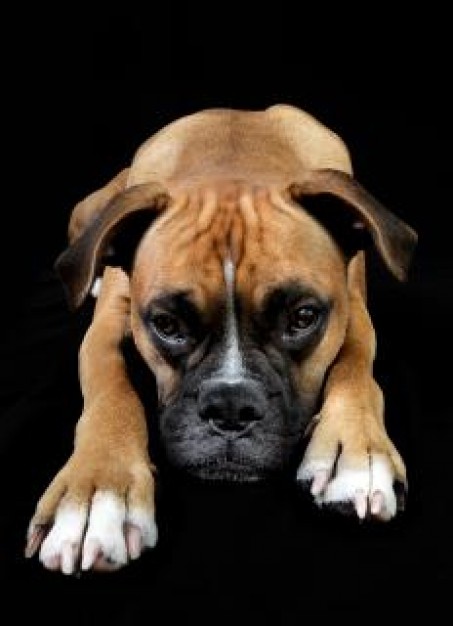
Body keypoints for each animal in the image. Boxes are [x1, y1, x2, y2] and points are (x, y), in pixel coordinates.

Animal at [23, 103, 414, 572]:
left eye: (303, 318)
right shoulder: (105, 330)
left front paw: (357, 451)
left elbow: (356, 359)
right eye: (167, 324)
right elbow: (109, 391)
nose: (230, 405)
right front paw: (97, 486)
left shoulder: (350, 306)